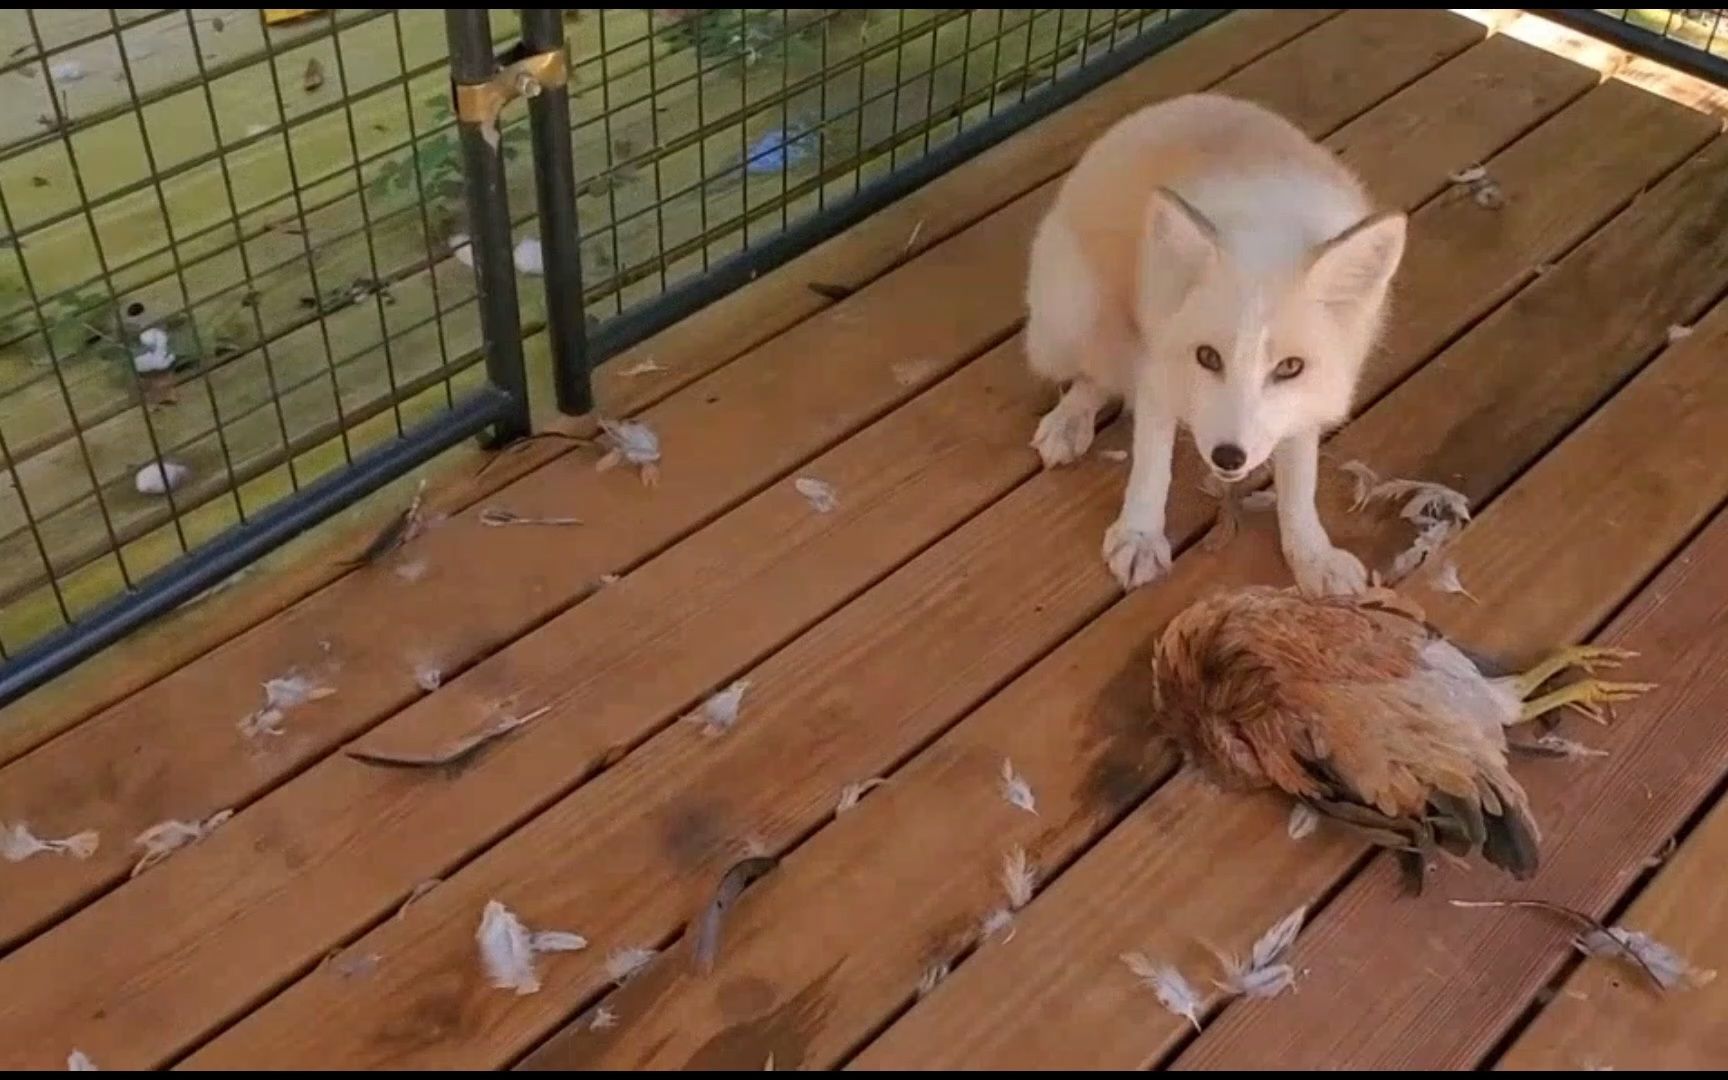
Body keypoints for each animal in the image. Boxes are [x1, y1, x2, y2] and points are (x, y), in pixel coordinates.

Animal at [1022, 94, 1403, 597]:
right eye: (1207, 357)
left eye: (1289, 367)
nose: (1228, 456)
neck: (1269, 222)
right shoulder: (1158, 367)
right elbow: (1152, 463)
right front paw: (1139, 535)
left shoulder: (1309, 398)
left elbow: (1301, 483)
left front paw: (1312, 554)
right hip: (1075, 314)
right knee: (1096, 376)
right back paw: (1070, 420)